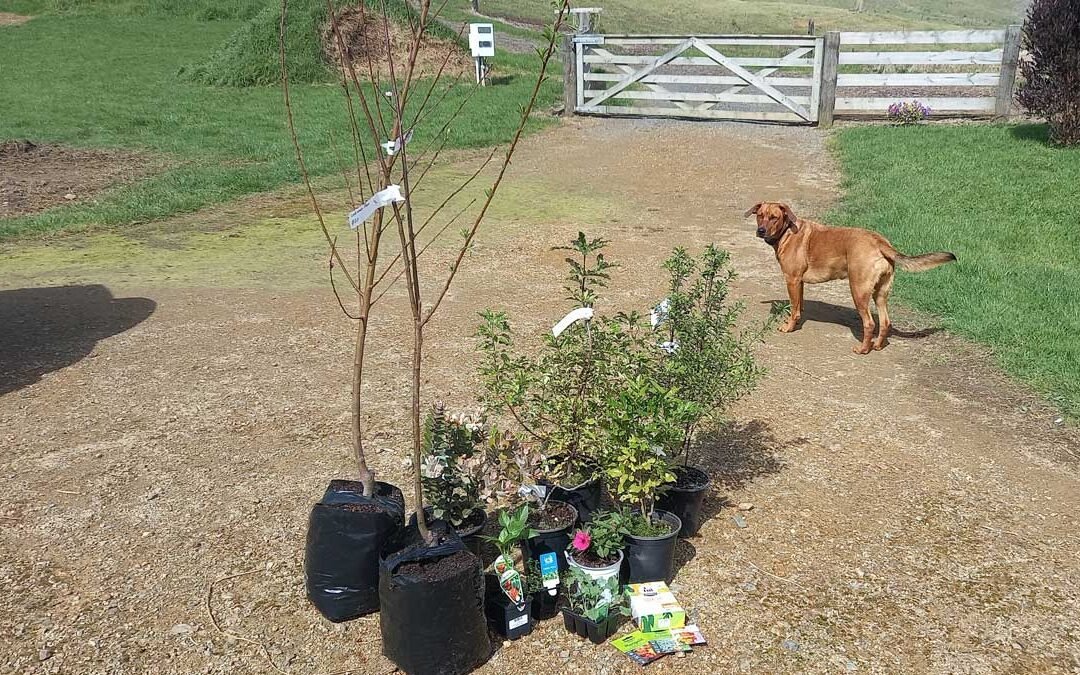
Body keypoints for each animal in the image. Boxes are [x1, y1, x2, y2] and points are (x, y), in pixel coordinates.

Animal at [747, 200, 959, 352]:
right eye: (760, 216)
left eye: (774, 217)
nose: (760, 231)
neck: (787, 232)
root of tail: (880, 242)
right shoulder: (798, 282)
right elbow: (798, 305)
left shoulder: (791, 279)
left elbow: (794, 308)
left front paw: (789, 326)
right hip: (881, 293)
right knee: (885, 322)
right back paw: (877, 346)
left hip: (858, 290)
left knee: (869, 323)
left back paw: (863, 349)